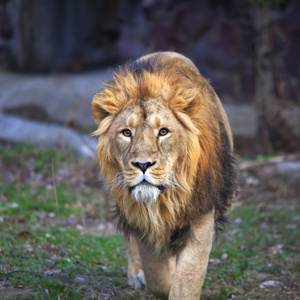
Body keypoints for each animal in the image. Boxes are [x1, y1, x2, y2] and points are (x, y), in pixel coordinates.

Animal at [91, 52, 237, 300]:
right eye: (126, 133)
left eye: (163, 132)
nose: (142, 164)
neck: (165, 198)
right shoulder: (142, 217)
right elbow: (156, 278)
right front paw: (159, 279)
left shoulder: (201, 212)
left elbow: (187, 280)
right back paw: (136, 273)